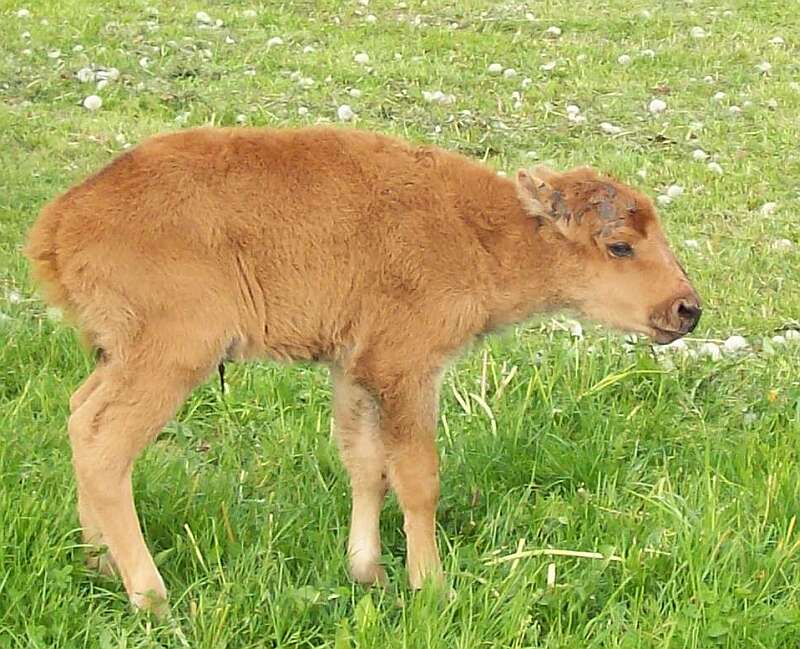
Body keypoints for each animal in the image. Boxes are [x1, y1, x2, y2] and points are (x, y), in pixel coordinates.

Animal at [25, 126, 700, 612]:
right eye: (619, 246)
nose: (686, 309)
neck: (484, 232)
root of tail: (60, 222)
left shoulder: (353, 369)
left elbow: (366, 466)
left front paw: (367, 571)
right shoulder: (408, 370)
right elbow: (418, 478)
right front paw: (432, 586)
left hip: (119, 355)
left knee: (79, 415)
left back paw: (97, 562)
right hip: (170, 358)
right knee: (105, 444)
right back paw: (151, 596)